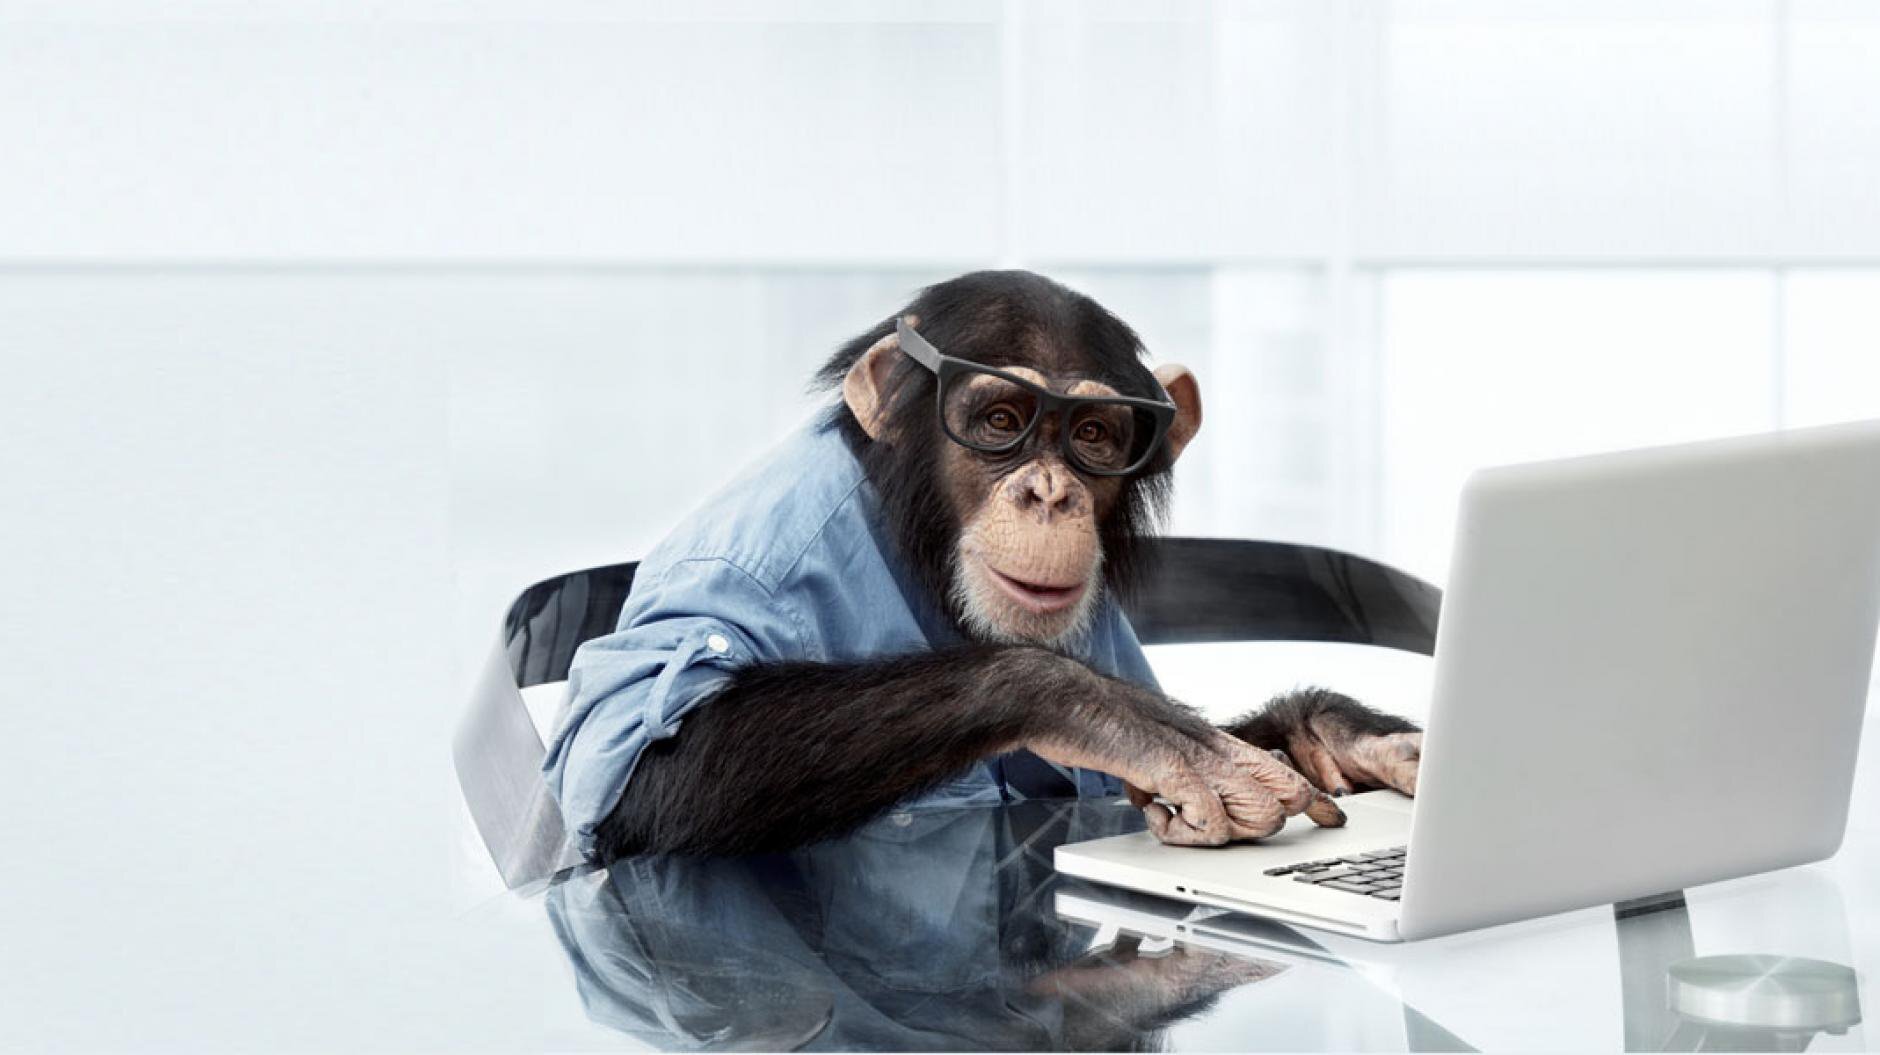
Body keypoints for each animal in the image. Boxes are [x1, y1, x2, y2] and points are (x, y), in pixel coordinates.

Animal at [541, 270, 1422, 861]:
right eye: (1002, 421)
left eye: (1094, 435)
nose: (1049, 492)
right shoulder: (752, 556)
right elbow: (641, 761)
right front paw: (1113, 715)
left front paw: (1337, 733)